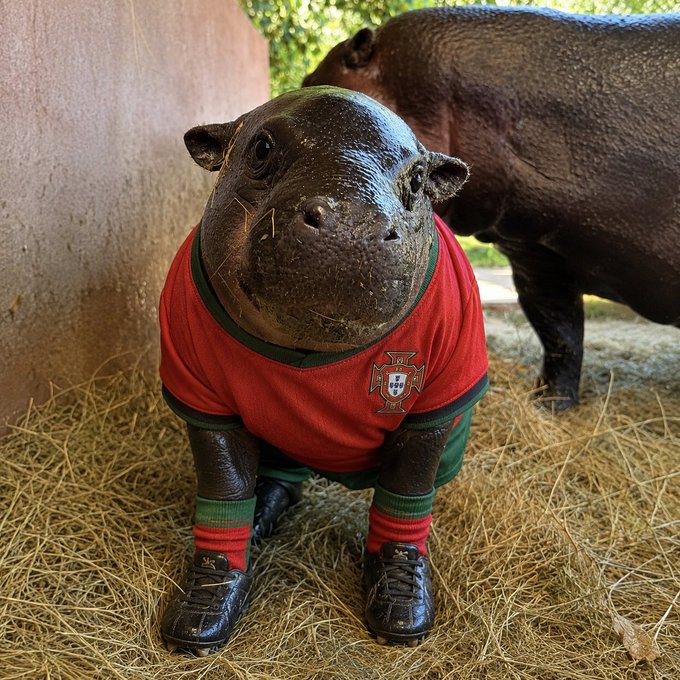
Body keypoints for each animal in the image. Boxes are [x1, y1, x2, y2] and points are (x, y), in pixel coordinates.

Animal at [158, 87, 489, 654]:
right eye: (261, 147)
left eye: (418, 180)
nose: (353, 222)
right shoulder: (197, 392)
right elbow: (225, 489)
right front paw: (201, 619)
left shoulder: (438, 400)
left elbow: (407, 492)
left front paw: (401, 611)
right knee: (279, 478)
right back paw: (262, 517)